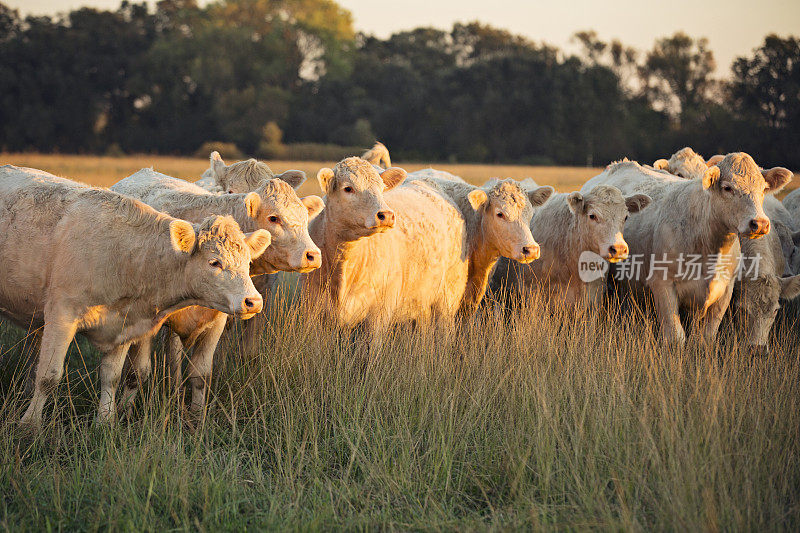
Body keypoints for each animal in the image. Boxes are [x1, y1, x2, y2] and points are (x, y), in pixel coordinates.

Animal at [0, 166, 272, 428]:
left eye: (248, 262)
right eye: (214, 262)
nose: (253, 302)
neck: (122, 256)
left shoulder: (123, 324)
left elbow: (111, 377)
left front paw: (105, 422)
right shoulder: (61, 317)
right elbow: (48, 376)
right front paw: (29, 425)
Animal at [111, 168, 324, 410]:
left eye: (305, 217)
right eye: (273, 218)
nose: (313, 255)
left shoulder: (218, 319)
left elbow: (201, 373)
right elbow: (143, 371)